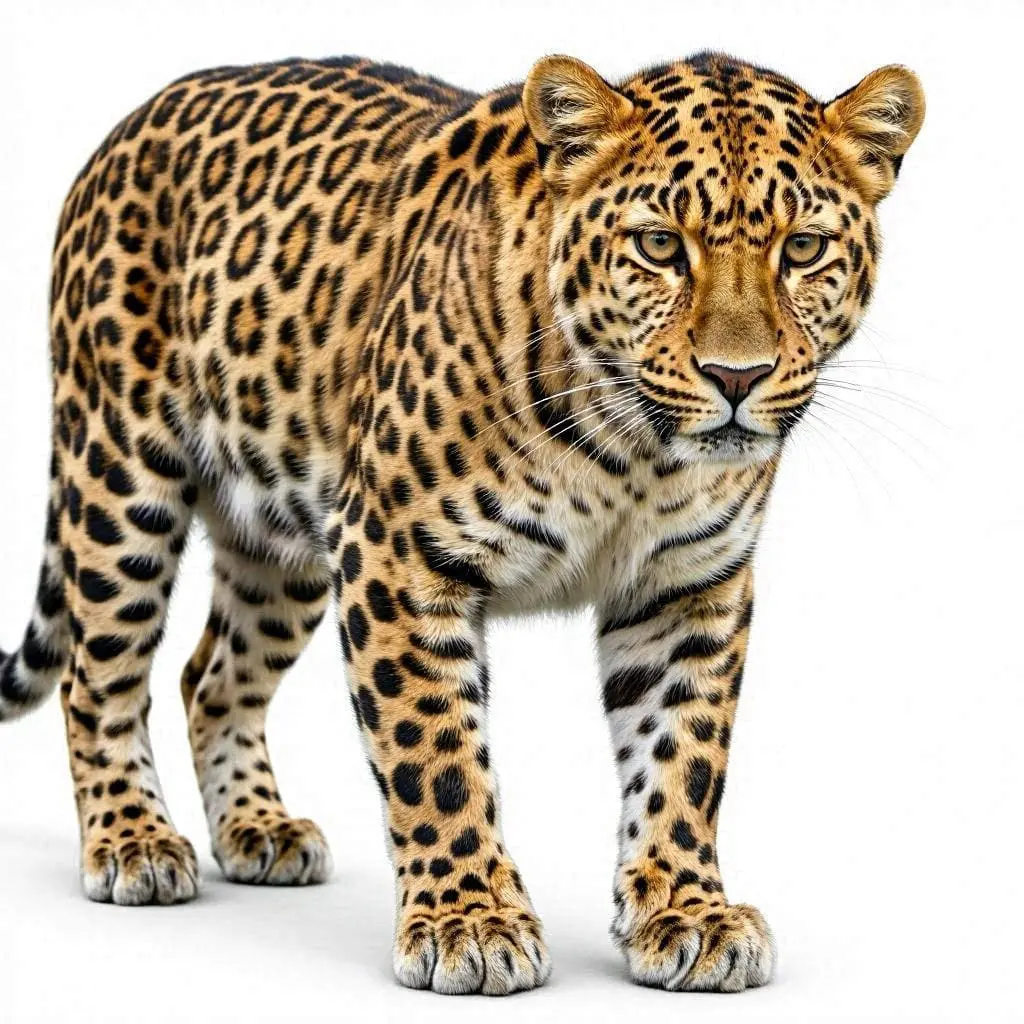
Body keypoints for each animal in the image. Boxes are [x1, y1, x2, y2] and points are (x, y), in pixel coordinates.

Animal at [0, 51, 924, 995]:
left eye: (803, 249)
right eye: (660, 246)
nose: (737, 377)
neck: (633, 454)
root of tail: (134, 120)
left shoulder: (690, 586)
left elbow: (683, 758)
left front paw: (687, 913)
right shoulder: (397, 555)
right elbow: (433, 750)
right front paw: (469, 923)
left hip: (281, 535)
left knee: (212, 677)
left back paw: (258, 829)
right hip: (119, 479)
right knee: (99, 676)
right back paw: (134, 841)